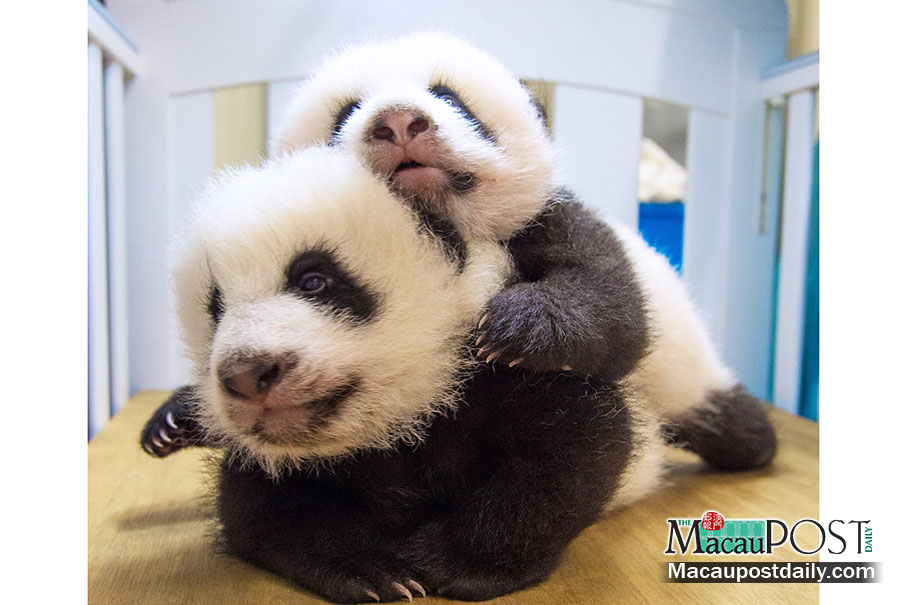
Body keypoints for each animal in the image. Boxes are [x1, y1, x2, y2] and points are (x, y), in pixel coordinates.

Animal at [168, 145, 668, 602]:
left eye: (314, 281)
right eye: (216, 308)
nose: (247, 373)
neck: (403, 414)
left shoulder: (493, 369)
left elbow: (570, 452)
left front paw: (454, 562)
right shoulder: (271, 458)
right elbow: (262, 509)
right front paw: (370, 570)